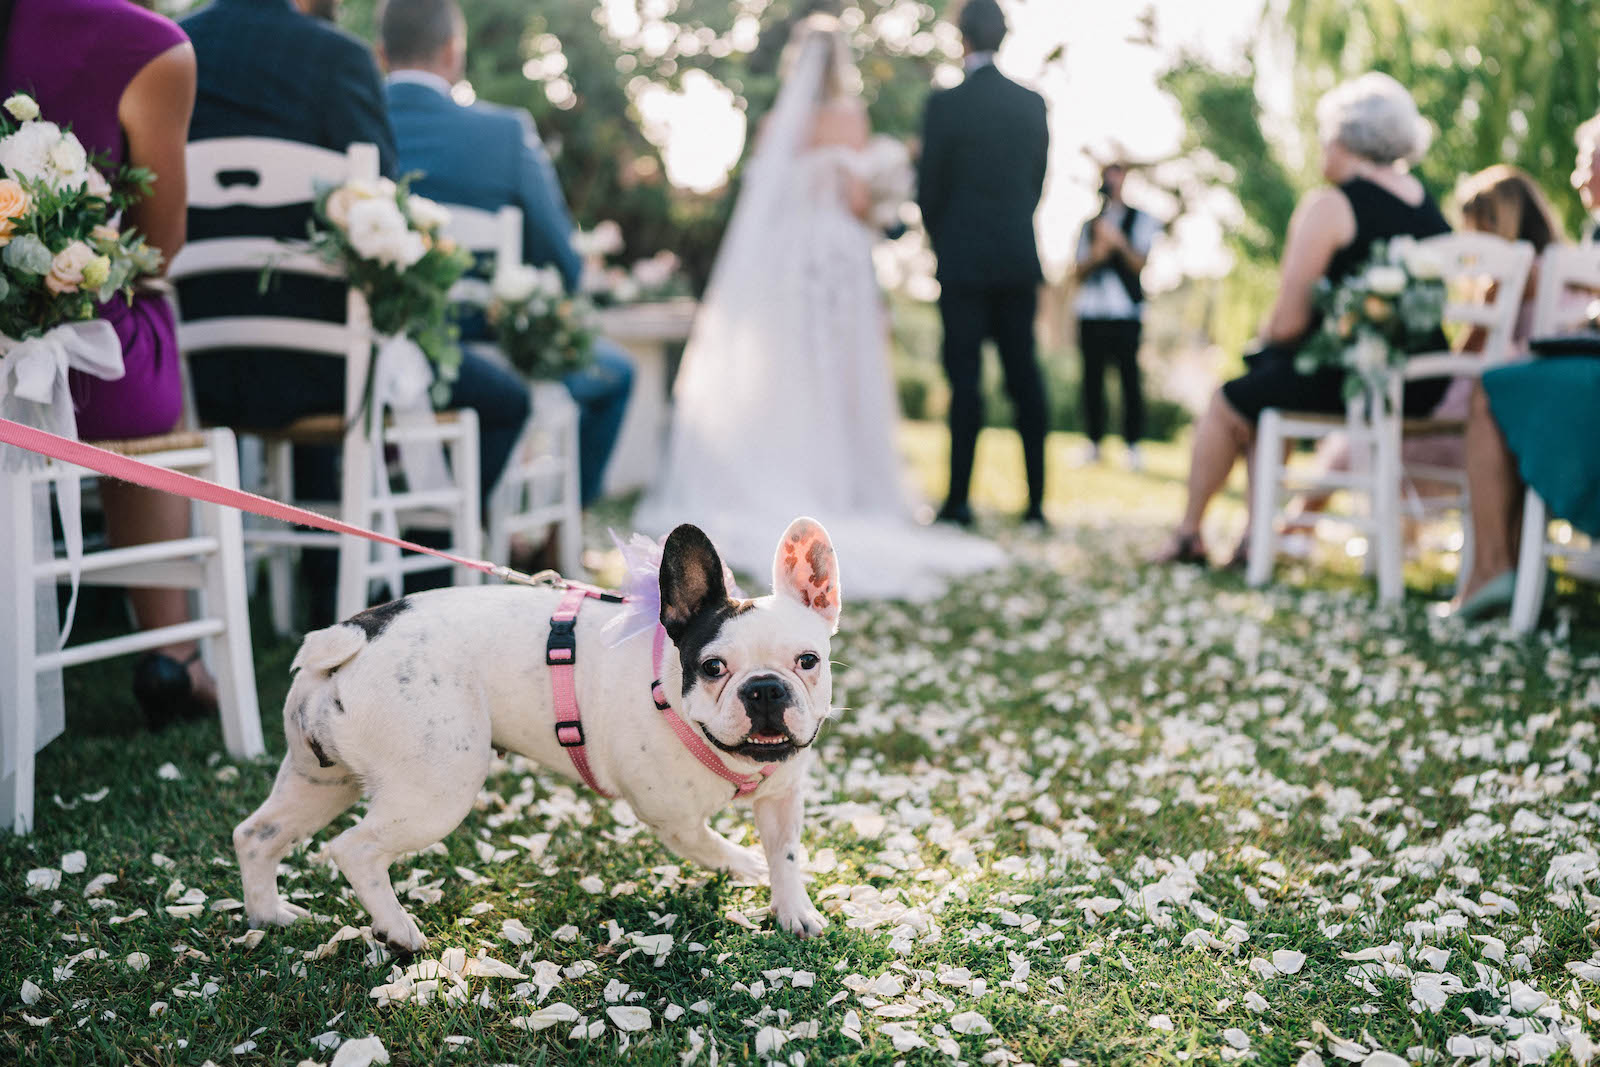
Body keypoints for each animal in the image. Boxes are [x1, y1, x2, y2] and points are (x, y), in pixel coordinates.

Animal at [236, 518, 844, 953]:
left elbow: (786, 853)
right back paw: (398, 929)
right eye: (714, 667)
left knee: (257, 834)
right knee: (354, 848)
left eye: (808, 661)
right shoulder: (669, 817)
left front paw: (794, 909)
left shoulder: (783, 796)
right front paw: (741, 863)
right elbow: (709, 843)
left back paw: (269, 915)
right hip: (438, 790)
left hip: (320, 781)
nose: (764, 689)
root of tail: (354, 635)